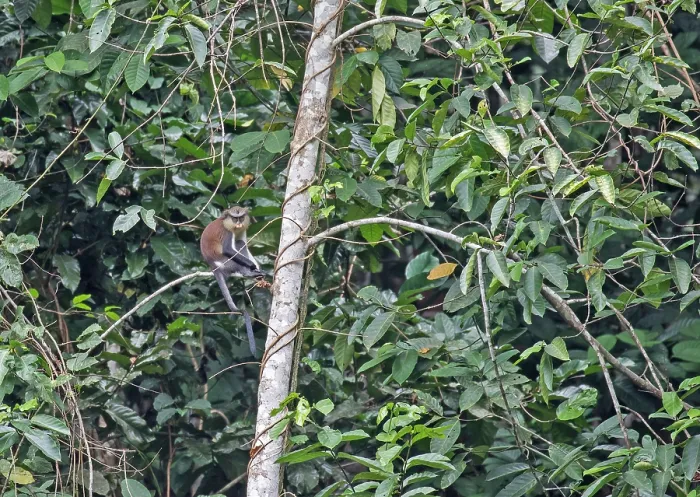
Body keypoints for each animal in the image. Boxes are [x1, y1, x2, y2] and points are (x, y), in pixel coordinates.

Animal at [200, 205, 267, 357]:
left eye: (241, 217)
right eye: (234, 218)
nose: (239, 223)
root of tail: (213, 266)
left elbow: (243, 243)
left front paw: (258, 270)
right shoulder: (227, 232)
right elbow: (228, 250)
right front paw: (253, 267)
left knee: (240, 243)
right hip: (227, 263)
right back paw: (248, 272)